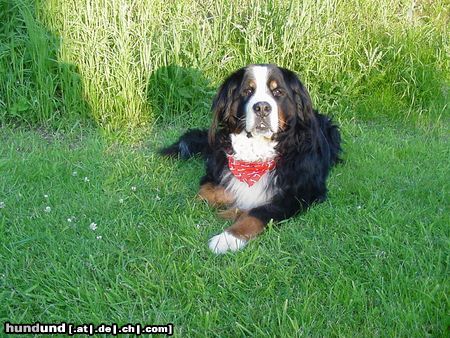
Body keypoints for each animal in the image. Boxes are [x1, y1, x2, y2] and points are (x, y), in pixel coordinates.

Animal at [162, 64, 342, 254]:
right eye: (248, 91)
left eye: (278, 92)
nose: (262, 107)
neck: (256, 153)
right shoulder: (217, 171)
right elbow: (206, 192)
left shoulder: (300, 193)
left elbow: (258, 213)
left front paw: (227, 238)